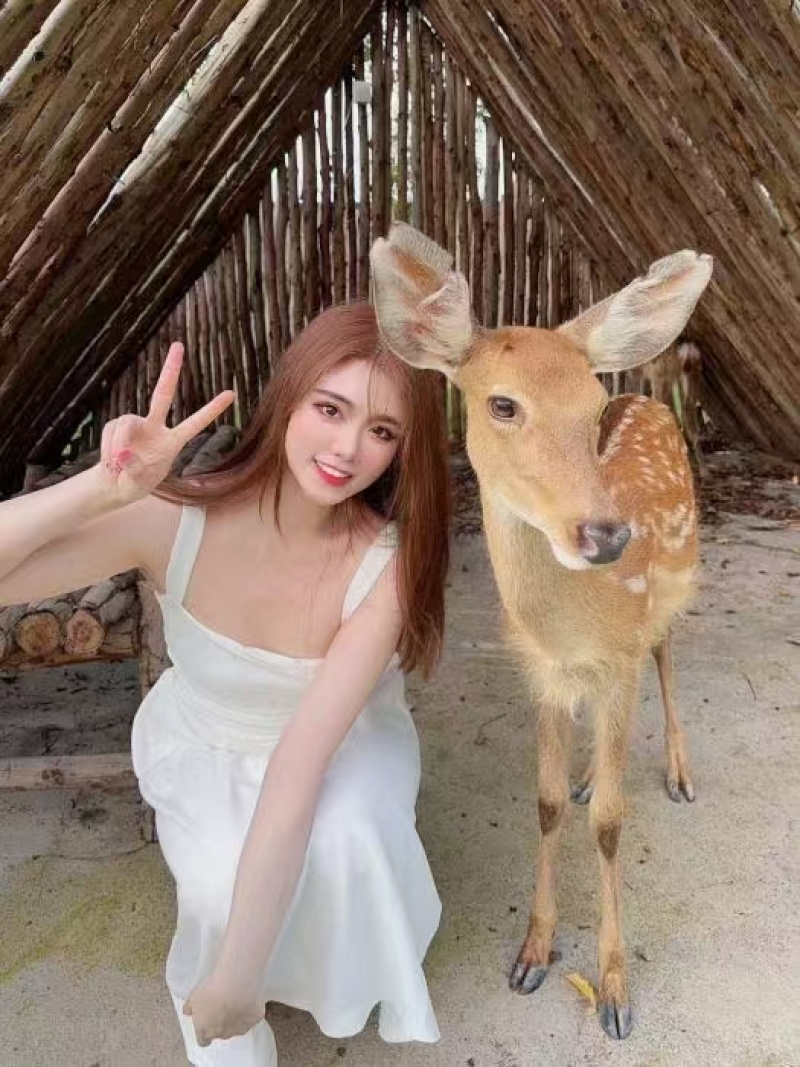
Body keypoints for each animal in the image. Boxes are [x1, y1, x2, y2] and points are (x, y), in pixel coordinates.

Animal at [369, 223, 713, 1041]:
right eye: (502, 403)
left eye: (592, 403)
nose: (607, 534)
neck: (571, 620)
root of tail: (651, 400)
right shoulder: (543, 671)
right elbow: (548, 803)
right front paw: (532, 952)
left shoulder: (618, 652)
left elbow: (614, 824)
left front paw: (614, 991)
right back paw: (593, 772)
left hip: (677, 584)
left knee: (667, 652)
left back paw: (680, 772)